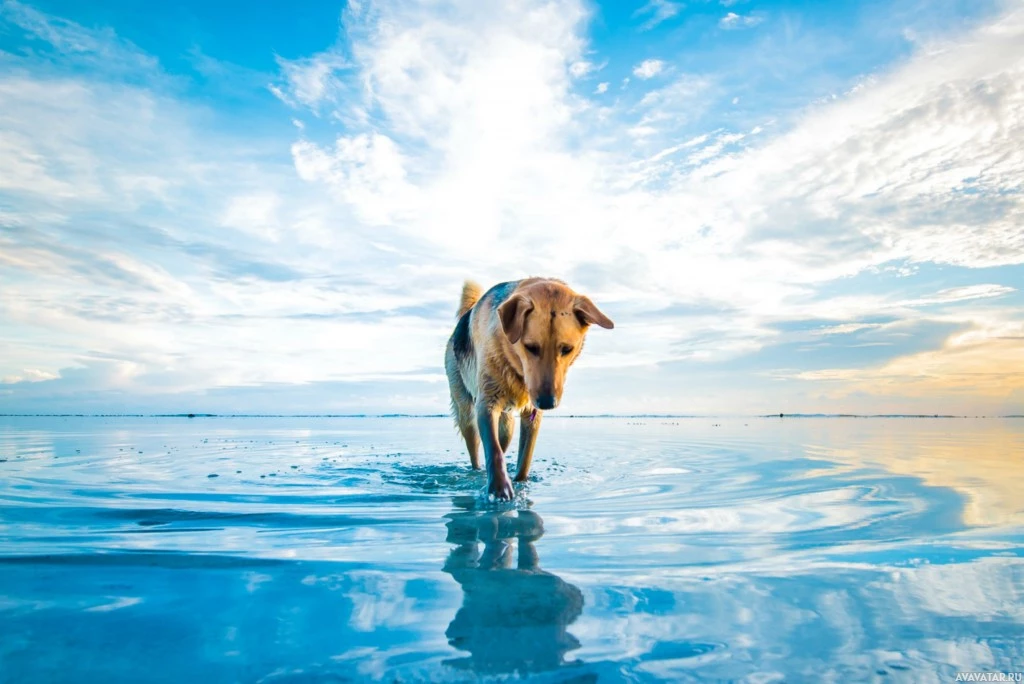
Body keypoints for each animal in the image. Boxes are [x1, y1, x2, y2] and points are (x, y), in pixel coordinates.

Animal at [442, 278, 614, 501]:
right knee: (476, 451)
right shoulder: (486, 404)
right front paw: (499, 488)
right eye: (530, 347)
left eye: (567, 349)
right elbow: (493, 451)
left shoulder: (532, 416)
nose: (548, 403)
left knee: (503, 441)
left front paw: (520, 483)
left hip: (507, 425)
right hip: (466, 415)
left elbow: (524, 458)